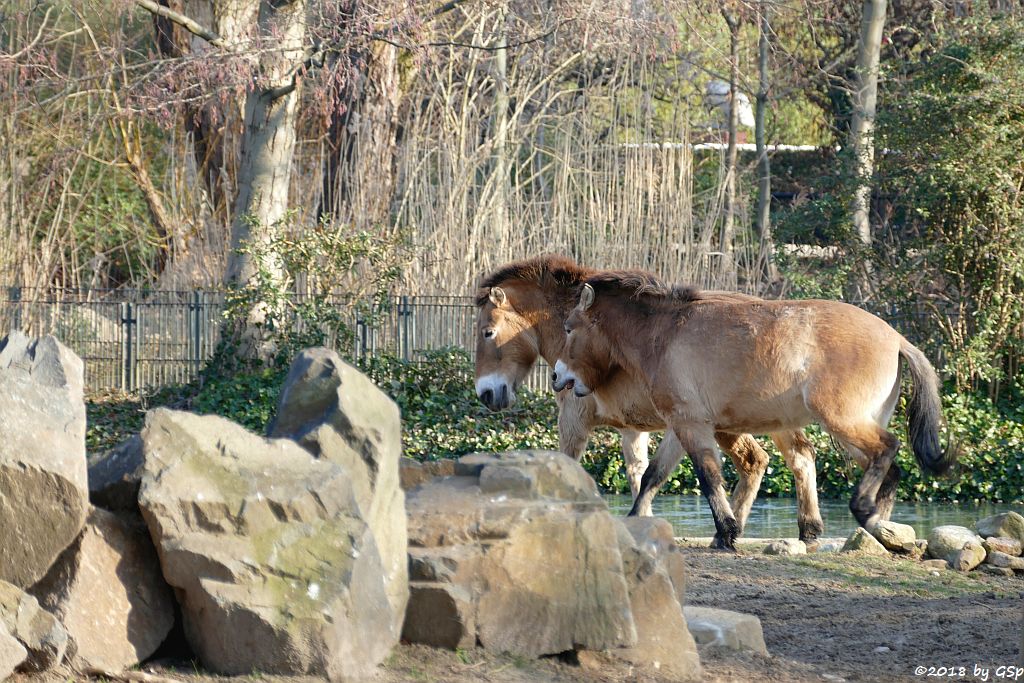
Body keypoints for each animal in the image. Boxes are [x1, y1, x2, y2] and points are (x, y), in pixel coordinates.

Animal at [477, 253, 823, 540]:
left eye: (487, 332)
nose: (485, 393)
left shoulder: (577, 420)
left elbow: (584, 467)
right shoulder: (635, 428)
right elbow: (641, 473)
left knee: (766, 459)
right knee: (781, 457)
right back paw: (799, 528)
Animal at [552, 270, 958, 548]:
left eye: (570, 328)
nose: (557, 375)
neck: (664, 334)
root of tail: (897, 338)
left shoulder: (691, 425)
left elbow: (708, 476)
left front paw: (728, 531)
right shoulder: (683, 425)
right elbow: (655, 475)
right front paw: (637, 522)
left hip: (844, 422)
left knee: (887, 449)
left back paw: (863, 511)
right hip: (853, 430)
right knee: (891, 471)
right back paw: (878, 531)